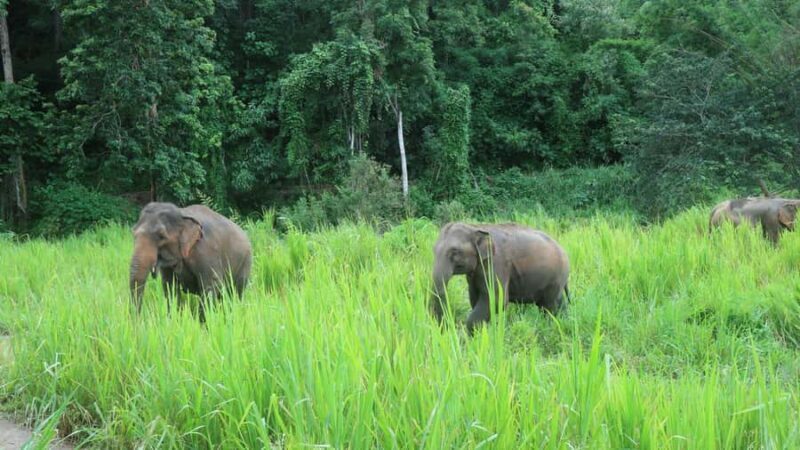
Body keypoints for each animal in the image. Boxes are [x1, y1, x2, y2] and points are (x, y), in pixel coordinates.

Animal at [430, 222, 570, 334]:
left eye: (454, 252)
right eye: (433, 250)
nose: (444, 330)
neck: (475, 227)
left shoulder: (497, 264)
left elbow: (497, 300)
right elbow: (474, 298)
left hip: (556, 278)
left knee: (548, 307)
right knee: (557, 302)